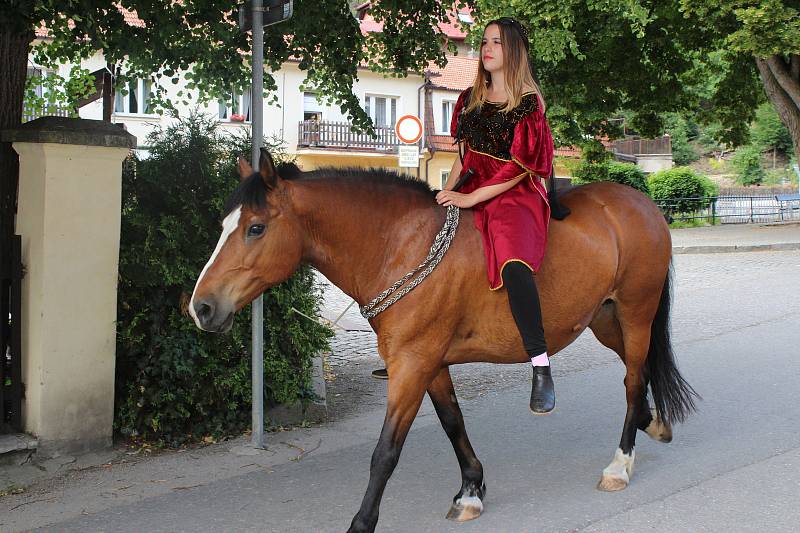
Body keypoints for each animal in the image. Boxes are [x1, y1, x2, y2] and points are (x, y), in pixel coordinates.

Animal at [189, 150, 692, 532]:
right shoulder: (429, 363)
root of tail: (641, 203)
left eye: (256, 228)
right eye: (223, 226)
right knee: (639, 372)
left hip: (636, 313)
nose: (202, 307)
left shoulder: (412, 365)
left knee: (632, 381)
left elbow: (385, 452)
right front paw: (471, 491)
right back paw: (652, 422)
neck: (401, 245)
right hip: (606, 321)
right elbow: (453, 423)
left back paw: (619, 464)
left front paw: (362, 522)